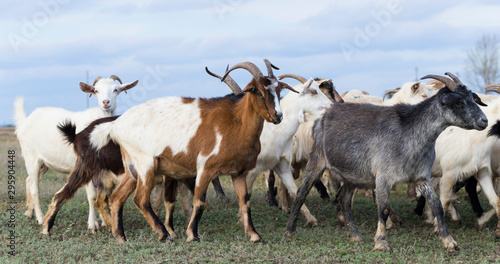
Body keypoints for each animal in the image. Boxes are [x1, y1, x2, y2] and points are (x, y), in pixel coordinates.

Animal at [14, 75, 138, 231]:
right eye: (96, 91)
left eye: (116, 89)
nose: (106, 102)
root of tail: (25, 122)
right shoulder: (89, 167)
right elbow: (92, 196)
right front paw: (93, 225)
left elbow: (104, 194)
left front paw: (105, 221)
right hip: (31, 158)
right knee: (35, 188)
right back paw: (41, 218)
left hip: (44, 163)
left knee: (29, 181)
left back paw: (29, 213)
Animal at [89, 59, 296, 243]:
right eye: (258, 92)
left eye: (279, 90)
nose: (278, 116)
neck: (236, 123)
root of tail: (117, 125)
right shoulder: (205, 167)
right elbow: (200, 200)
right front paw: (192, 234)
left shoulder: (239, 172)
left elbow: (245, 201)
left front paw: (254, 235)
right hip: (146, 164)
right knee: (140, 199)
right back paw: (163, 234)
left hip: (132, 169)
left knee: (117, 198)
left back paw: (121, 237)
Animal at [286, 72, 488, 252]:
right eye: (459, 102)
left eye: (473, 99)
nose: (484, 121)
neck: (409, 133)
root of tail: (324, 116)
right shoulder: (383, 177)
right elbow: (383, 209)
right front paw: (381, 243)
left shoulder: (421, 177)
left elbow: (437, 205)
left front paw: (449, 241)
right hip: (317, 161)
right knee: (302, 193)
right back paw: (290, 230)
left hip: (353, 175)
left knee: (344, 199)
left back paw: (355, 235)